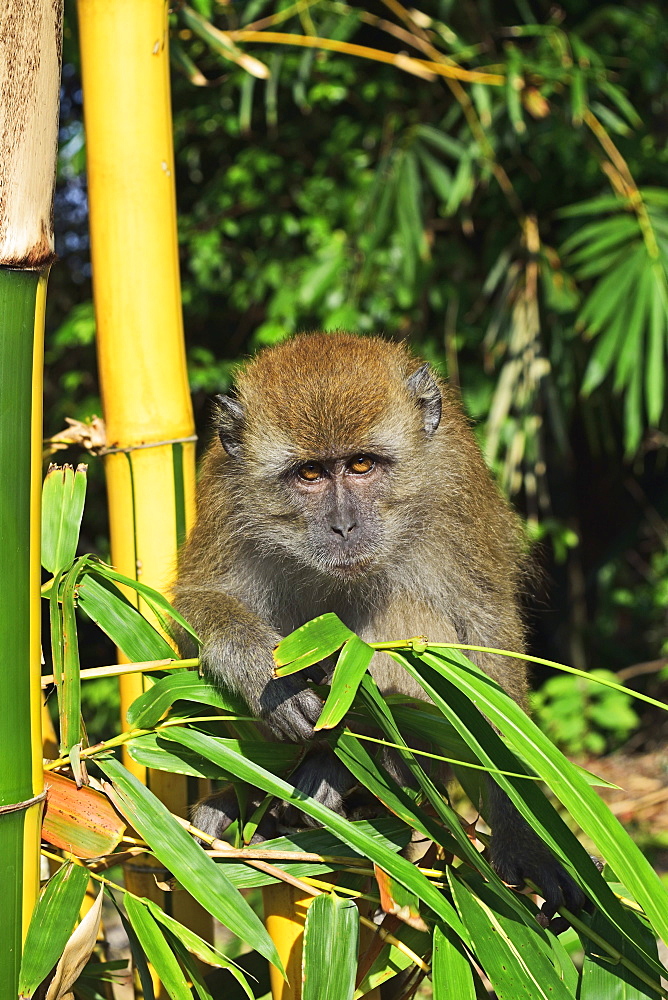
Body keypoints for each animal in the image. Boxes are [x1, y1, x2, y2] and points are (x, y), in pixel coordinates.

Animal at [172, 334, 584, 920]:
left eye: (362, 464)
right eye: (310, 475)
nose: (343, 526)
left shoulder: (454, 487)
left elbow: (485, 635)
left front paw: (521, 832)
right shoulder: (225, 499)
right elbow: (194, 606)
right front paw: (266, 675)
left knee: (406, 614)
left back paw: (346, 776)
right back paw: (246, 801)